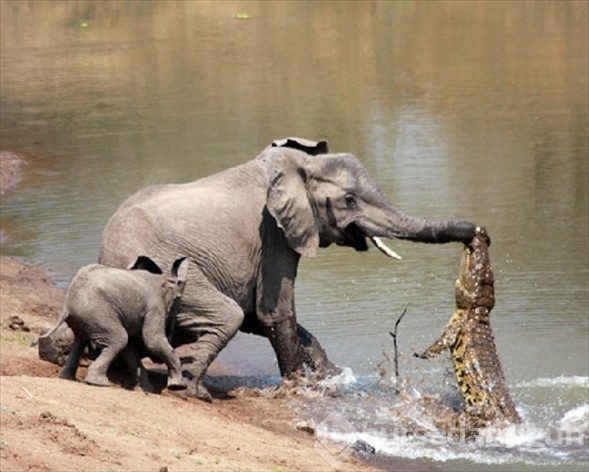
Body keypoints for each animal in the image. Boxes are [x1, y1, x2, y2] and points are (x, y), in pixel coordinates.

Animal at [38, 256, 188, 392]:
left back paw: (67, 378)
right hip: (98, 313)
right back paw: (99, 383)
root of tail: (67, 303)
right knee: (119, 338)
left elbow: (130, 349)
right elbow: (152, 340)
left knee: (79, 341)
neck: (165, 279)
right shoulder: (155, 306)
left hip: (85, 317)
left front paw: (145, 390)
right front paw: (178, 386)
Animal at [99, 138, 476, 400]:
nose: (476, 232)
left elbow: (259, 316)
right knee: (226, 315)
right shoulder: (274, 234)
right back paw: (193, 391)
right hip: (165, 271)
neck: (298, 166)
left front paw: (331, 376)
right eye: (349, 200)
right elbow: (273, 312)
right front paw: (299, 389)